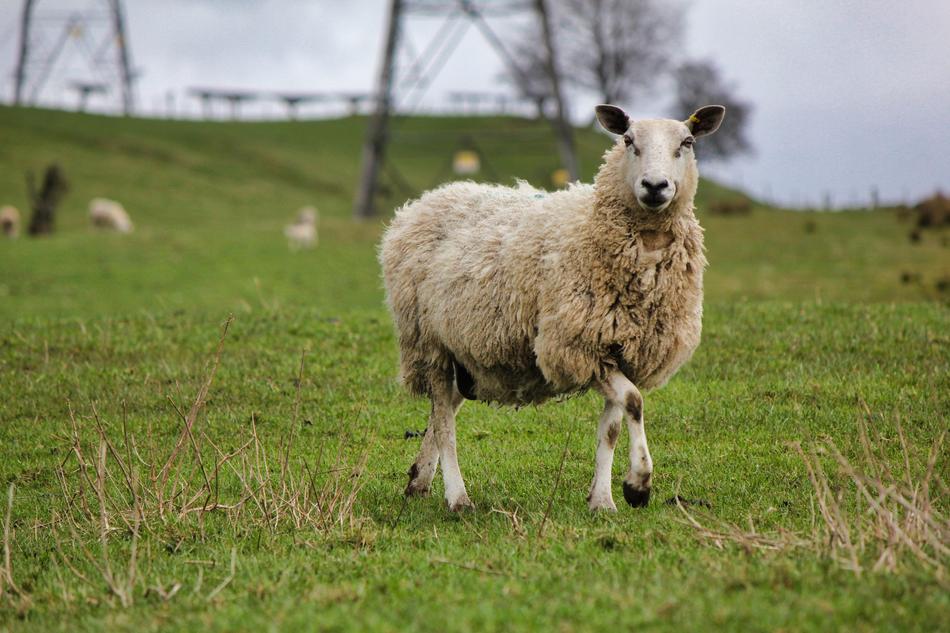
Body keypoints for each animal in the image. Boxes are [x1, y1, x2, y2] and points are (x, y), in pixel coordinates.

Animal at [380, 104, 725, 512]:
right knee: (445, 420)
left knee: (443, 408)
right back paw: (457, 496)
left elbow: (612, 426)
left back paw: (419, 479)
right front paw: (638, 485)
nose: (655, 186)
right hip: (429, 341)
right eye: (628, 140)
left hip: (466, 350)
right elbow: (634, 402)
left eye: (687, 143)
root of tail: (423, 202)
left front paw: (603, 500)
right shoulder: (578, 344)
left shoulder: (620, 350)